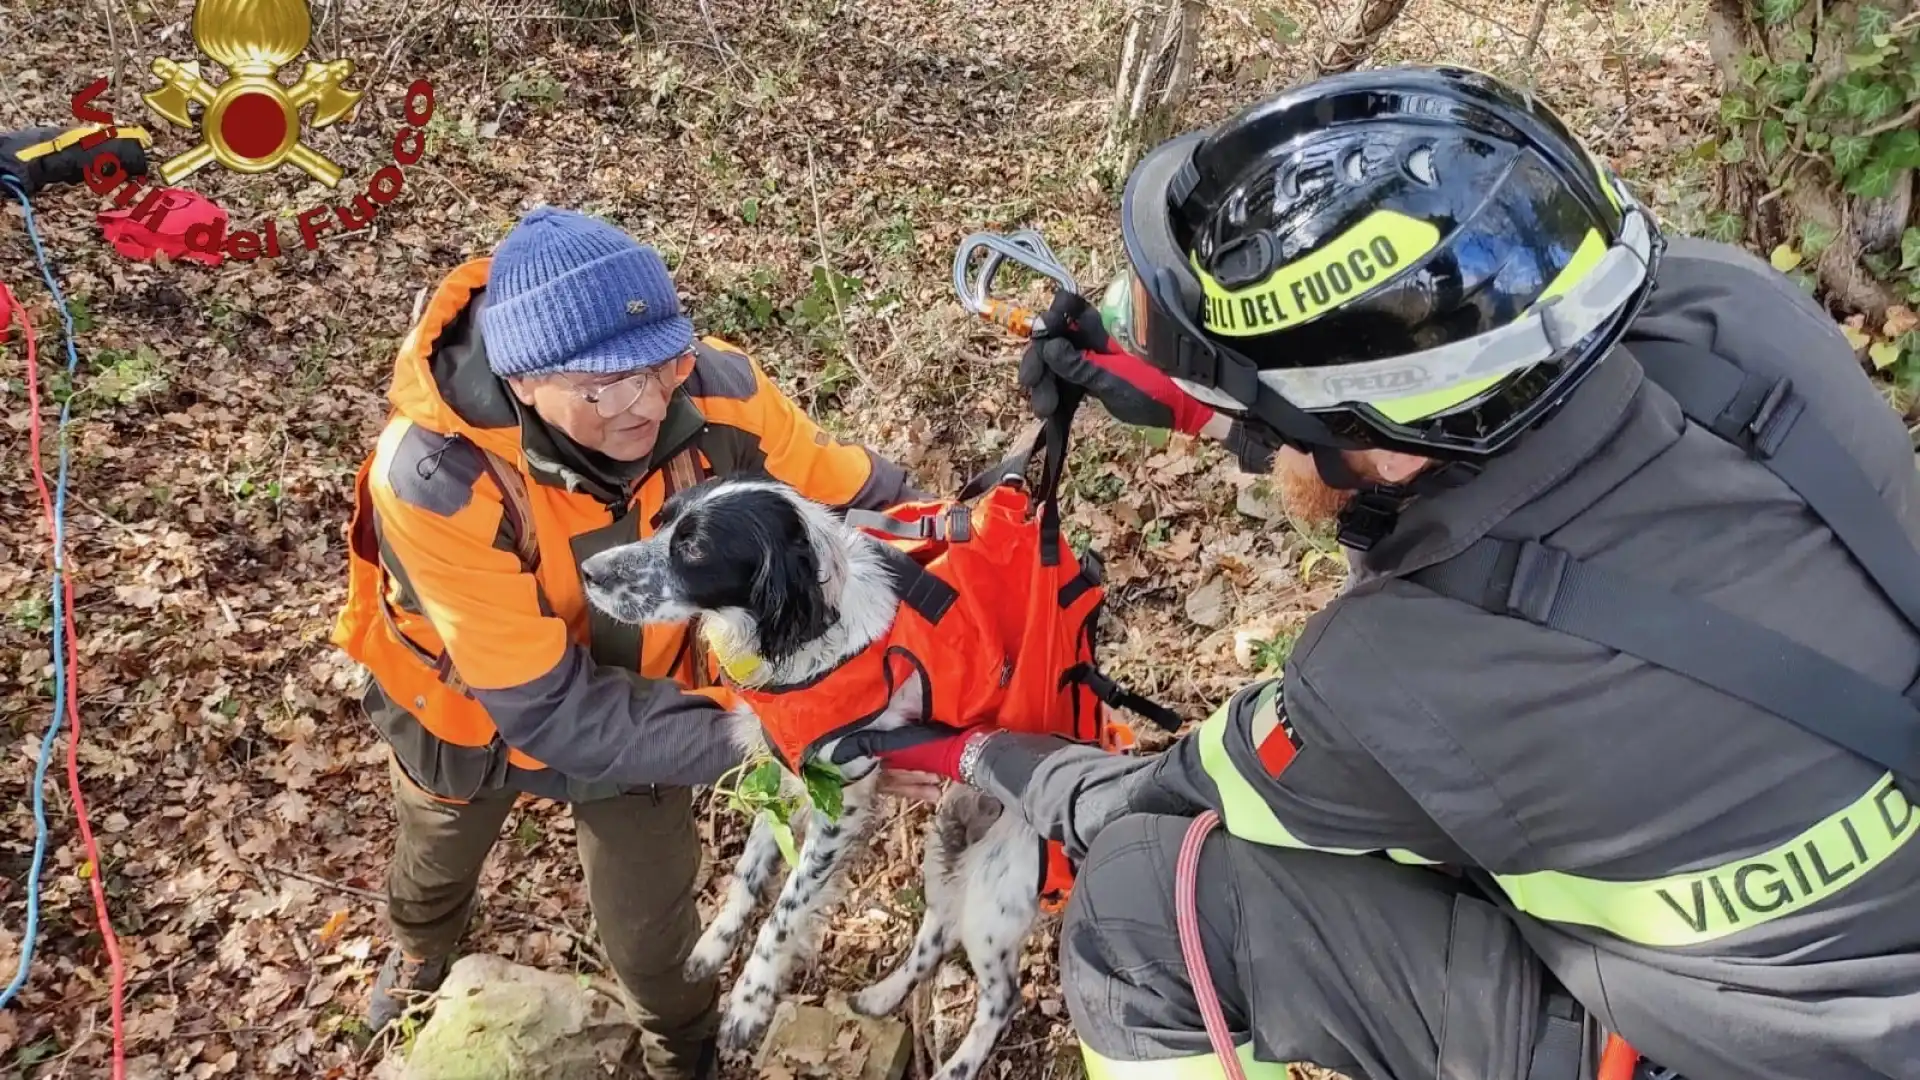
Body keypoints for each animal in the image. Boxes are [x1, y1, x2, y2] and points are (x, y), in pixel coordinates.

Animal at [576, 474, 1044, 1076]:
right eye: (660, 522)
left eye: (693, 548)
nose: (590, 571)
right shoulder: (782, 777)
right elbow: (749, 875)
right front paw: (713, 946)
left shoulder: (838, 808)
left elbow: (785, 912)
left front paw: (749, 1003)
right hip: (950, 845)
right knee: (937, 935)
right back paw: (880, 997)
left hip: (995, 890)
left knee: (1002, 995)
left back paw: (957, 1064)